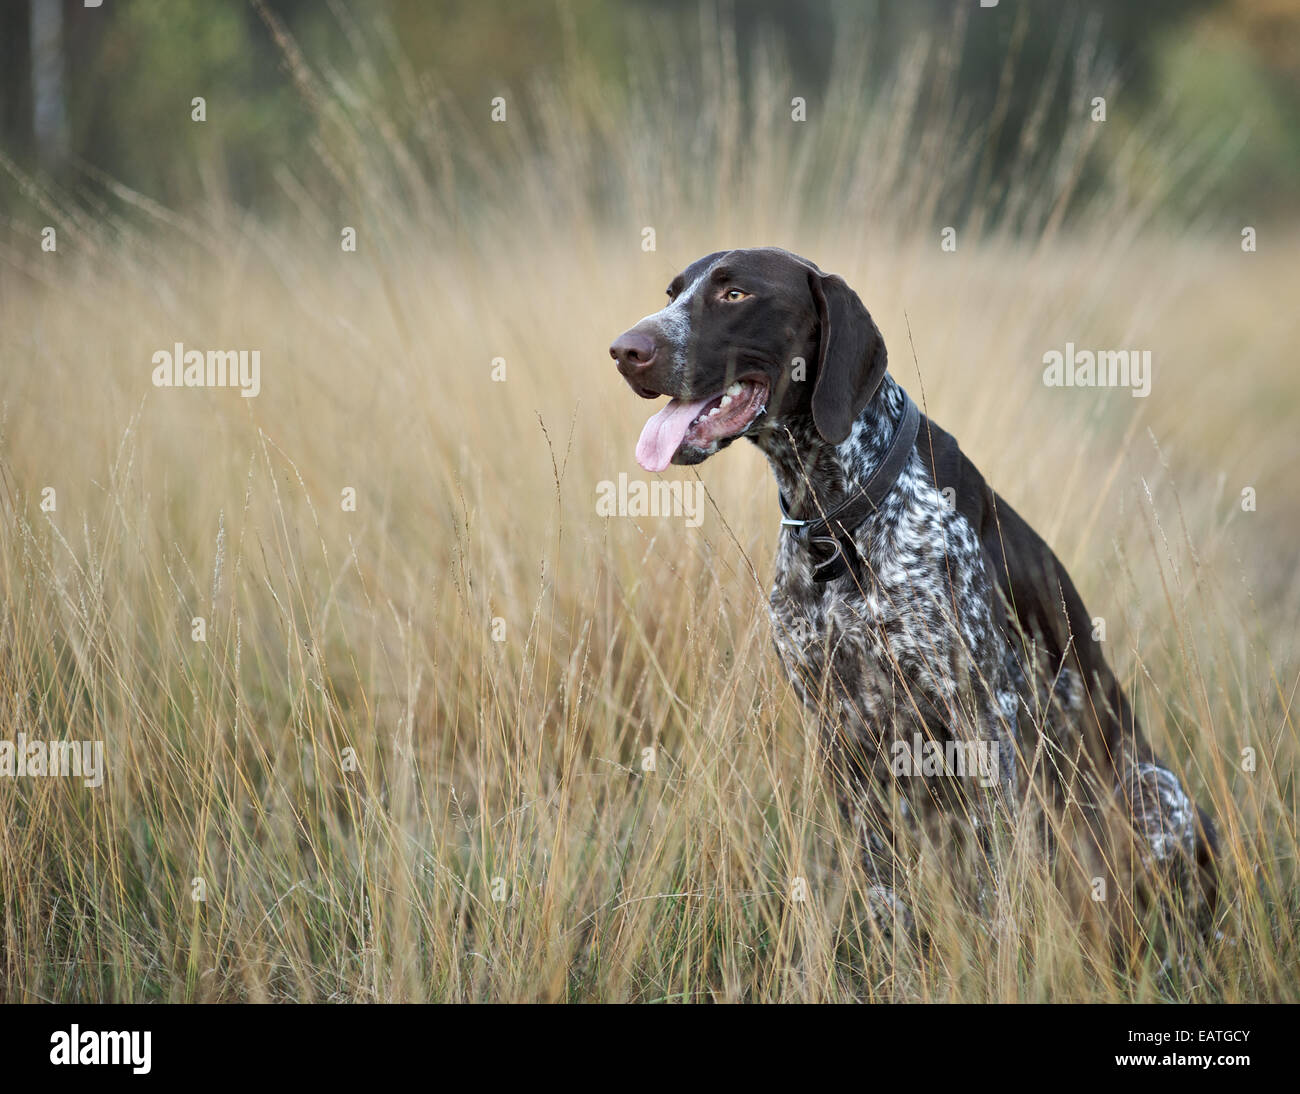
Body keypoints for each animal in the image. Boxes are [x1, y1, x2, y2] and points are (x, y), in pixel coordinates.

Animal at [608, 245, 1216, 935]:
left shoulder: (984, 720)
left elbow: (999, 887)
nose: (624, 350)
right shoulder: (837, 731)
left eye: (734, 294)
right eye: (673, 293)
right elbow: (881, 887)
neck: (838, 521)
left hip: (1154, 795)